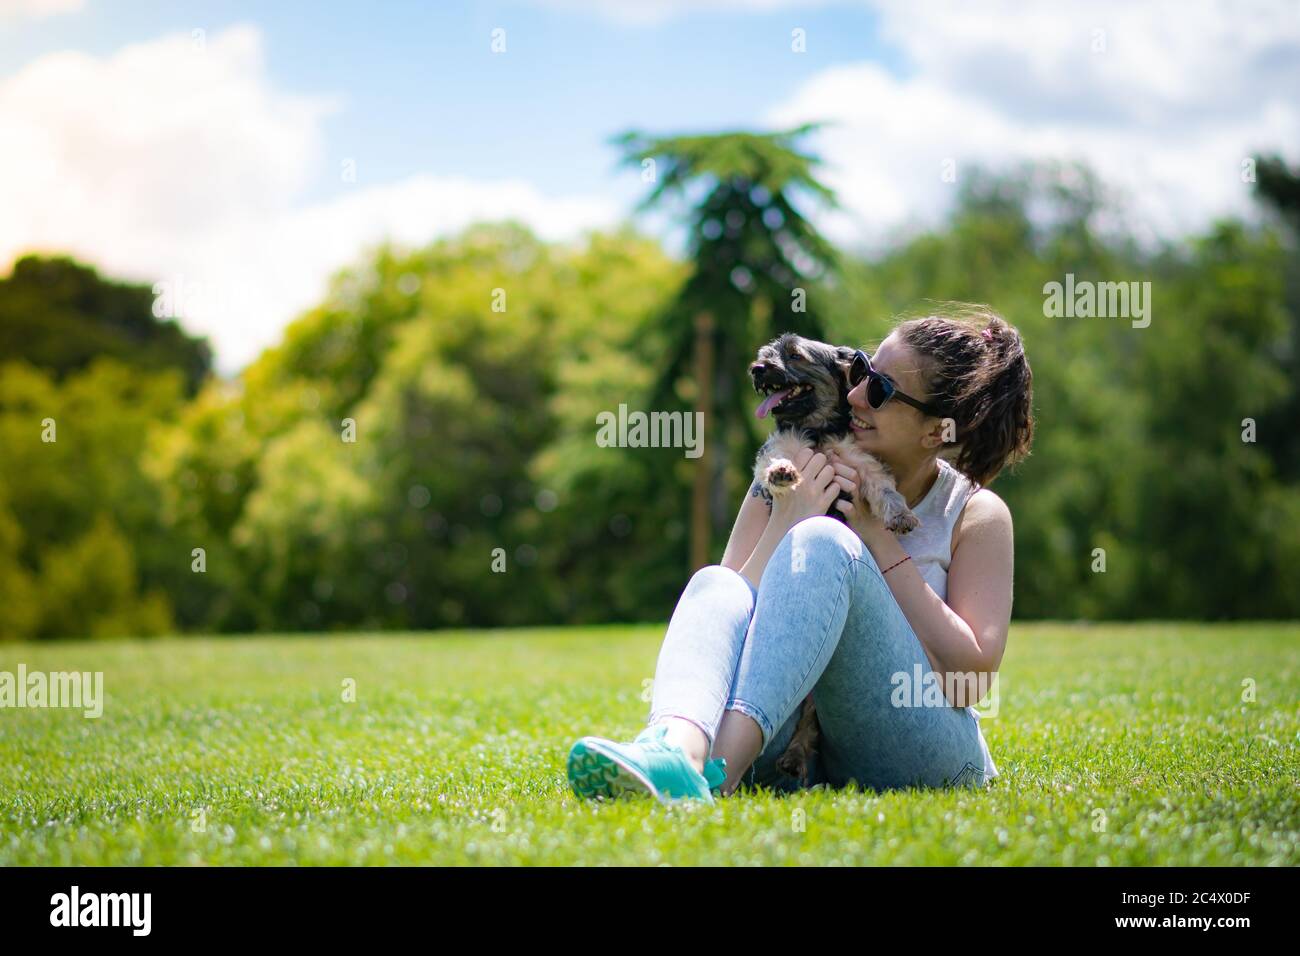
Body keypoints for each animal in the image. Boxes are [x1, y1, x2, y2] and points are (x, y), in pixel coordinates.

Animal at [748, 335, 920, 785]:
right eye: (766, 352)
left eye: (794, 355)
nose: (757, 368)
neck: (816, 431)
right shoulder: (779, 448)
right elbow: (774, 462)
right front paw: (783, 472)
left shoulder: (859, 462)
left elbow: (883, 485)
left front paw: (899, 514)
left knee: (808, 722)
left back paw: (794, 758)